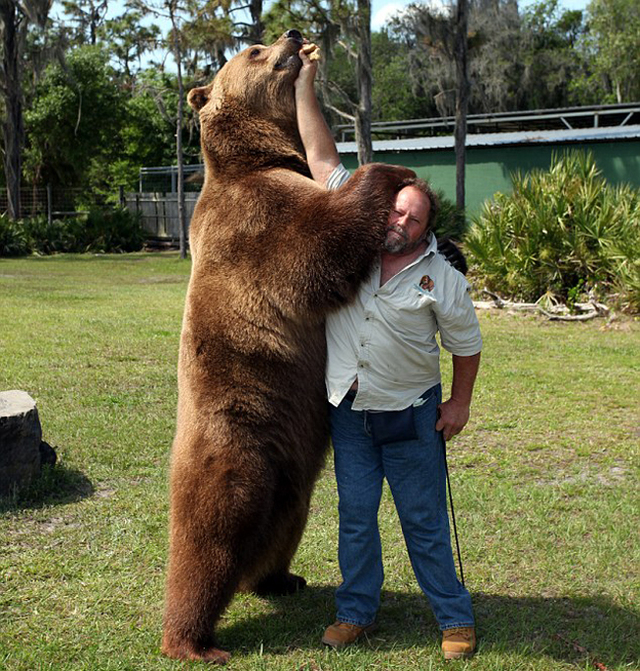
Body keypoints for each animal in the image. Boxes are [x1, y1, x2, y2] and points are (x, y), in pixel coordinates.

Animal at [161, 28, 416, 664]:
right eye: (252, 50)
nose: (294, 35)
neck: (260, 157)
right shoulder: (258, 219)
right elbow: (321, 241)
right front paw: (390, 169)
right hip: (235, 442)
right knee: (209, 538)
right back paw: (193, 641)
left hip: (294, 470)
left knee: (283, 527)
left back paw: (280, 579)